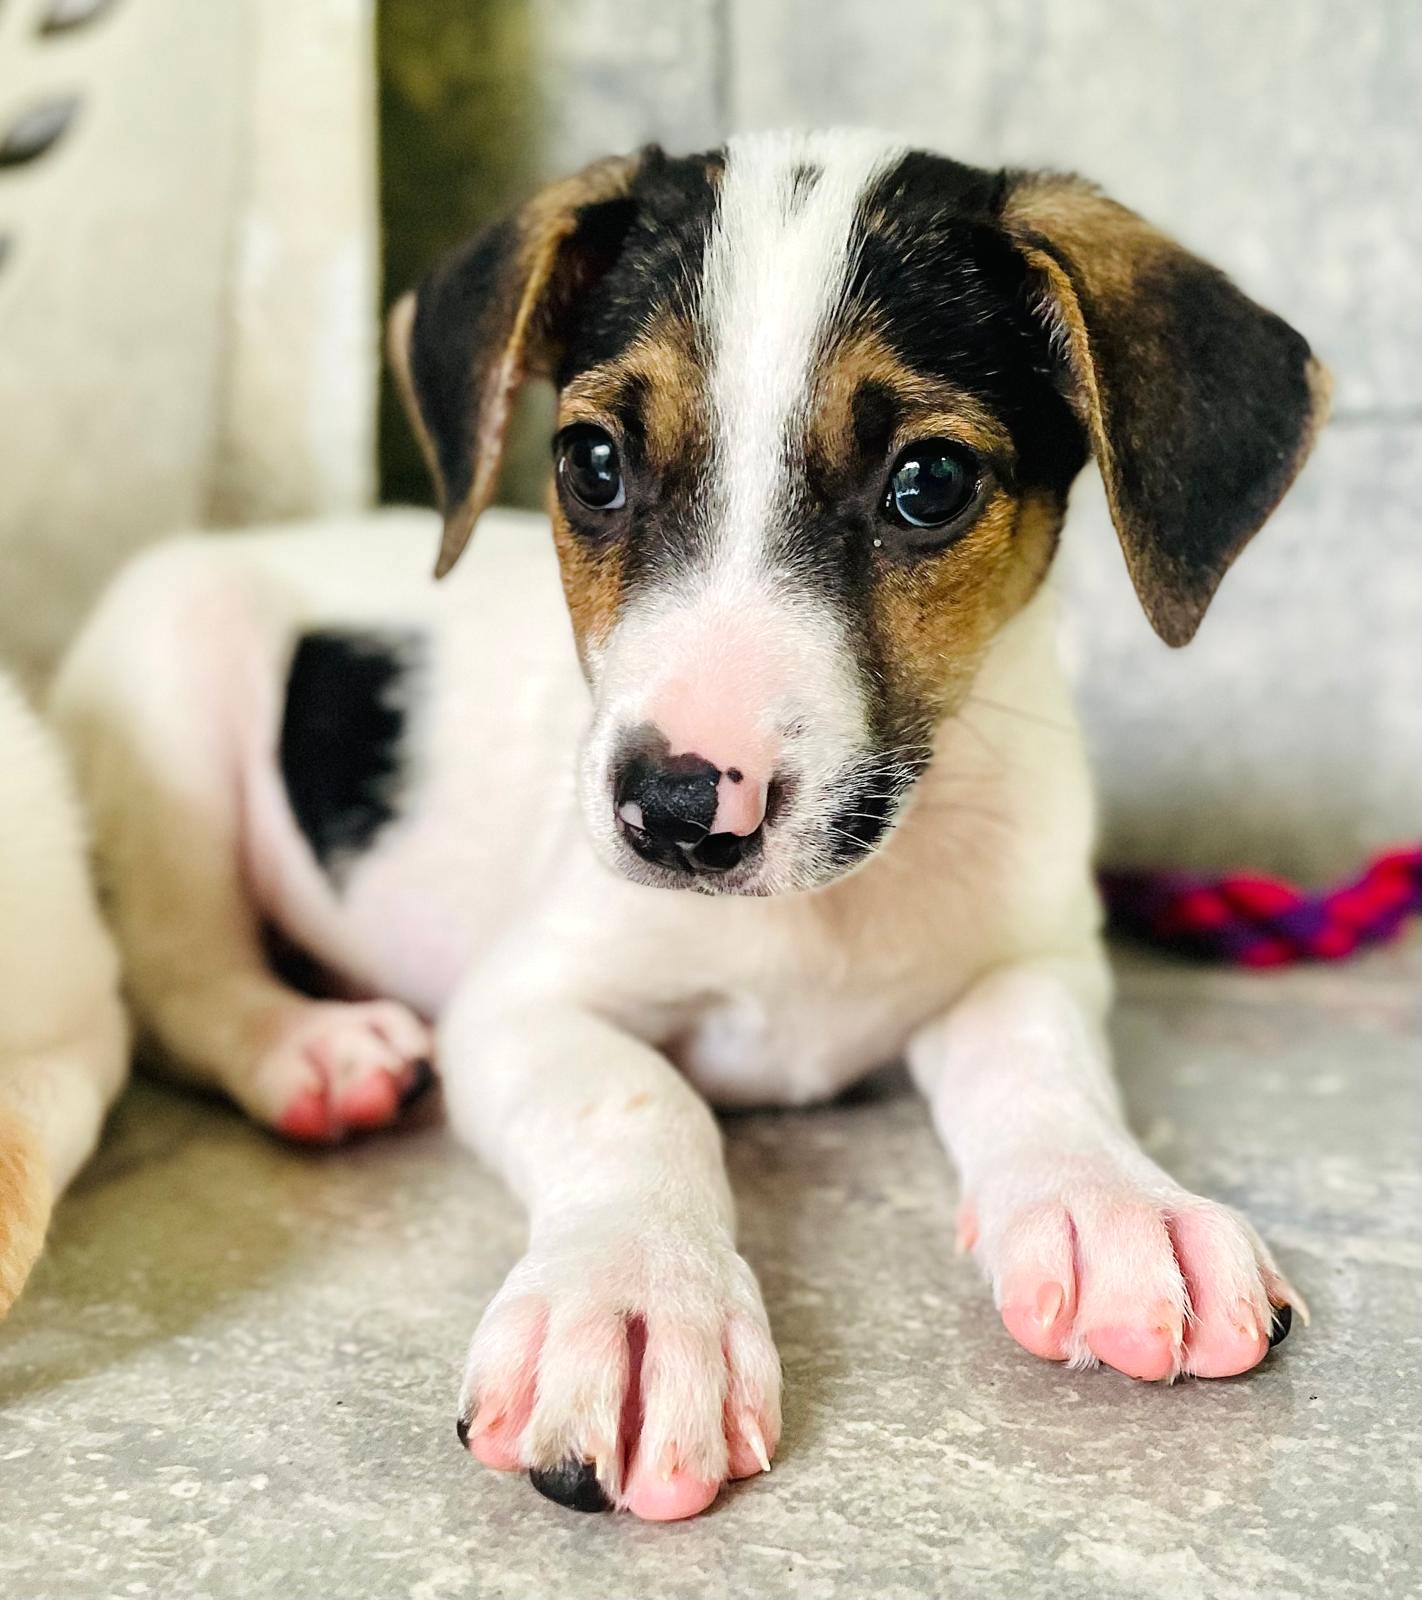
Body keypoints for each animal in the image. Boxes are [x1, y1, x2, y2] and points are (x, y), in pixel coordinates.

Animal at [52, 131, 1318, 1516]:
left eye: (929, 483)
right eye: (593, 463)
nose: (672, 811)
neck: (827, 908)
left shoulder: (1028, 960)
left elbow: (1042, 1064)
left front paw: (1115, 1207)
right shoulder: (524, 1002)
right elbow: (645, 1101)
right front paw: (631, 1300)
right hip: (180, 674)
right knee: (172, 977)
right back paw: (309, 1051)